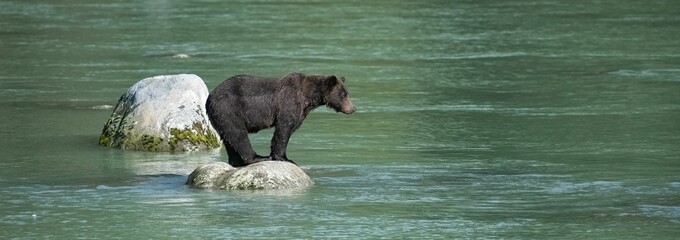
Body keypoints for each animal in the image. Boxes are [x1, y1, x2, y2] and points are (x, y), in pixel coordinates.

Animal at [206, 71, 356, 167]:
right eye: (343, 95)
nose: (353, 108)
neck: (308, 97)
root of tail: (209, 97)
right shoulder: (289, 102)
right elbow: (284, 129)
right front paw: (285, 158)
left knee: (229, 138)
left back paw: (236, 161)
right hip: (229, 109)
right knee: (238, 134)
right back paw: (258, 157)